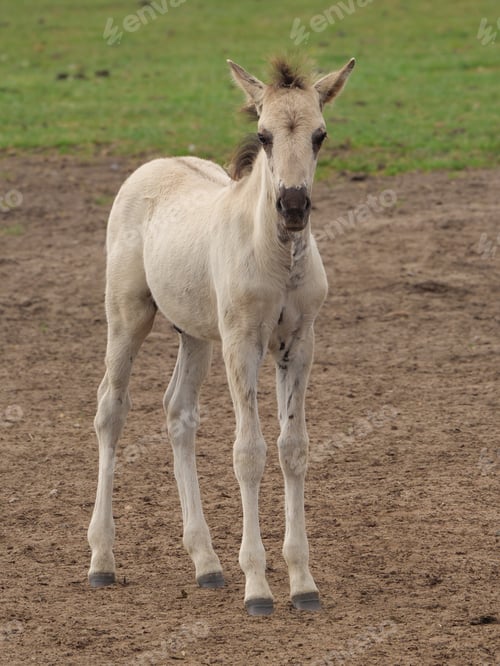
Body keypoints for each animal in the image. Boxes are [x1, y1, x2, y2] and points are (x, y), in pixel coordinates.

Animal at [87, 55, 355, 616]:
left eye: (320, 135)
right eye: (264, 134)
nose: (292, 206)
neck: (277, 256)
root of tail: (153, 165)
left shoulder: (299, 346)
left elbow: (293, 448)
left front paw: (303, 583)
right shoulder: (241, 345)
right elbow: (248, 452)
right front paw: (258, 587)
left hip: (195, 335)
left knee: (178, 413)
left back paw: (206, 563)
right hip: (127, 316)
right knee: (111, 409)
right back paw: (102, 559)